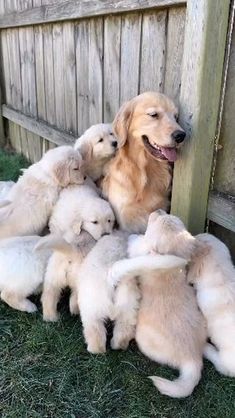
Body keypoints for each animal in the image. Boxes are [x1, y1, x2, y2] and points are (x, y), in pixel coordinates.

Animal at [108, 209, 206, 398]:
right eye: (172, 218)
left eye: (157, 220)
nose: (159, 210)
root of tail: (193, 359)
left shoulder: (140, 250)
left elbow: (136, 242)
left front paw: (133, 237)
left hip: (144, 340)